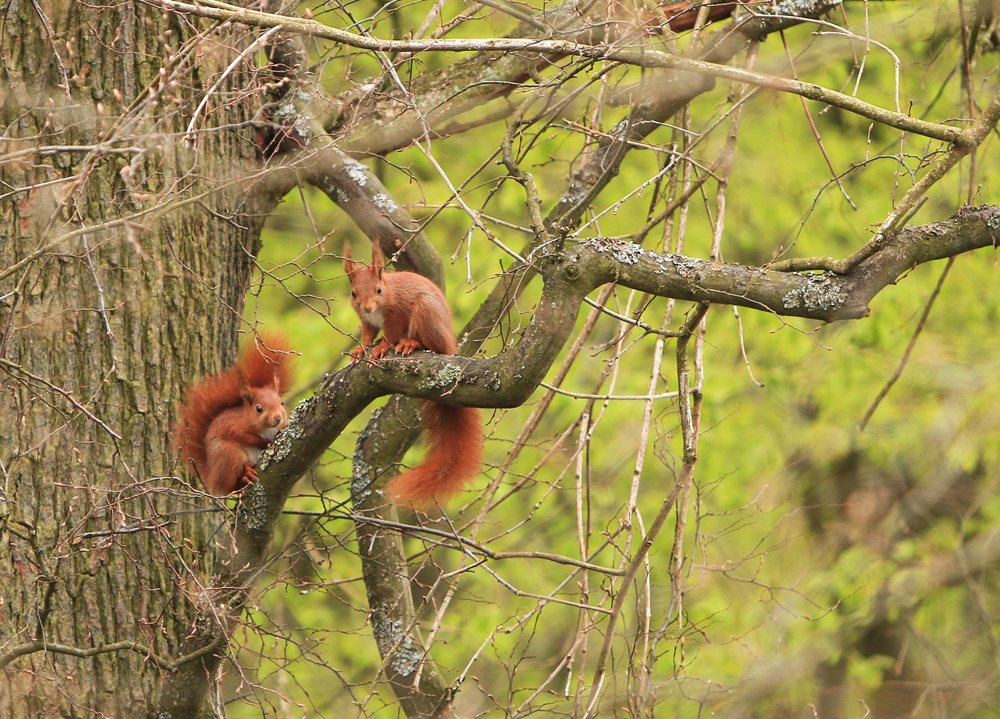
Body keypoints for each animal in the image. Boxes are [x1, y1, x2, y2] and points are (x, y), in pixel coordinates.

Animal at [178, 336, 294, 496]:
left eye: (281, 402)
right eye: (258, 409)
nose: (277, 417)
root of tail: (212, 474)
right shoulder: (233, 424)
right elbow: (241, 435)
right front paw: (263, 443)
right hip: (229, 453)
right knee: (230, 485)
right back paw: (245, 475)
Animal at [346, 242, 482, 506]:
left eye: (379, 290)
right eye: (353, 293)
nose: (367, 306)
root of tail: (448, 342)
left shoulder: (396, 314)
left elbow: (390, 334)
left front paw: (380, 347)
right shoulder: (366, 321)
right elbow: (367, 334)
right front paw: (360, 349)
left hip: (425, 314)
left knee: (427, 342)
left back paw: (410, 343)